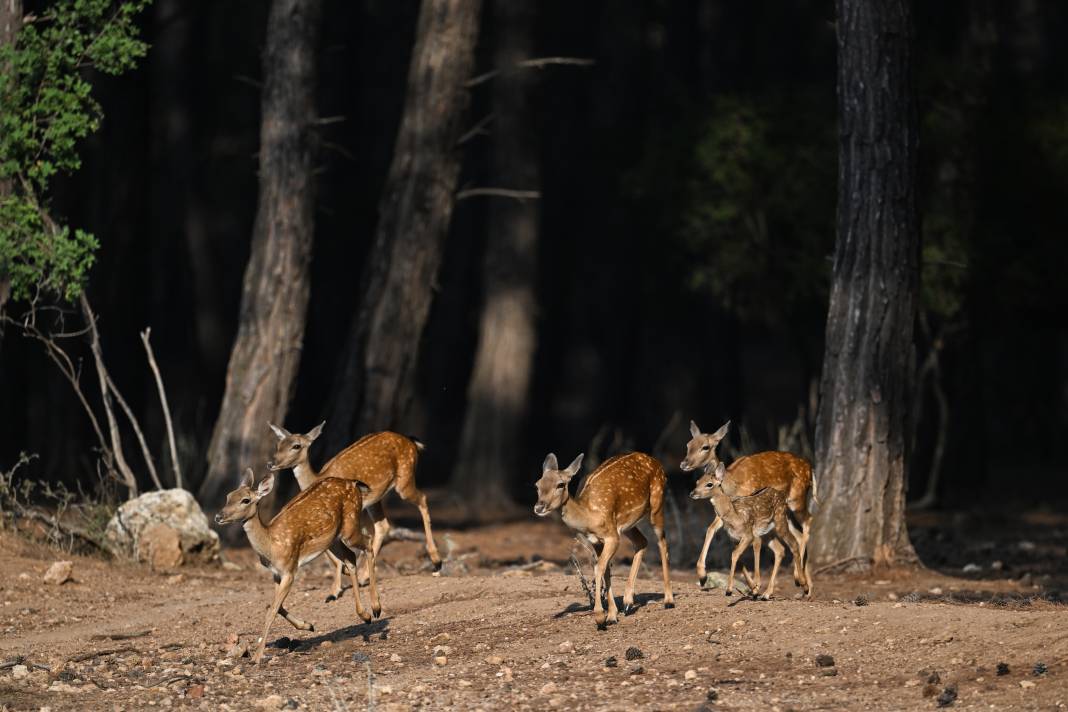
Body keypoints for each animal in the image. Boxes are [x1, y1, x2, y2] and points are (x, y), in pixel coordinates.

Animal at [214, 469, 382, 666]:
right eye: (228, 496)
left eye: (245, 500)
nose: (218, 517)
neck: (271, 545)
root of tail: (354, 483)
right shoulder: (276, 574)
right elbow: (276, 606)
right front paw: (308, 625)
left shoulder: (290, 569)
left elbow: (271, 610)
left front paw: (256, 657)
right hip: (333, 539)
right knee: (350, 558)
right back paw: (365, 615)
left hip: (350, 526)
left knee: (368, 543)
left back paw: (376, 609)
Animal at [269, 420, 440, 597]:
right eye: (278, 445)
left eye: (296, 446)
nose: (272, 463)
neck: (318, 477)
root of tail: (412, 441)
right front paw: (339, 583)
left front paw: (336, 589)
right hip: (376, 498)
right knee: (383, 526)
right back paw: (364, 576)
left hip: (405, 479)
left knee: (422, 499)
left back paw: (436, 561)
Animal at [534, 450, 674, 627]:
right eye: (537, 484)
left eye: (560, 484)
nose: (539, 507)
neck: (589, 516)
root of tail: (656, 461)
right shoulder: (596, 541)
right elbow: (606, 569)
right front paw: (612, 616)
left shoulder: (612, 536)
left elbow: (598, 567)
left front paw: (600, 617)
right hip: (628, 524)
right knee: (642, 541)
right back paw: (628, 603)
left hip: (657, 500)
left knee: (662, 542)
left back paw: (668, 601)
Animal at [679, 420, 811, 580]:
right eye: (688, 444)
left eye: (705, 447)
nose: (684, 464)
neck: (731, 483)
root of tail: (810, 469)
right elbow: (711, 529)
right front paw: (701, 573)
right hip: (784, 513)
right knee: (794, 538)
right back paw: (804, 581)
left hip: (797, 499)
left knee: (808, 521)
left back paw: (798, 576)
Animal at [683, 465, 807, 597]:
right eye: (697, 482)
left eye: (709, 484)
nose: (692, 493)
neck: (735, 516)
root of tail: (783, 496)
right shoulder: (734, 538)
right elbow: (738, 558)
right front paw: (753, 588)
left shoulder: (749, 535)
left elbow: (736, 554)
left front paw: (731, 589)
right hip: (768, 532)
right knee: (780, 550)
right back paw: (767, 593)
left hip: (780, 521)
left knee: (794, 543)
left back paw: (803, 584)